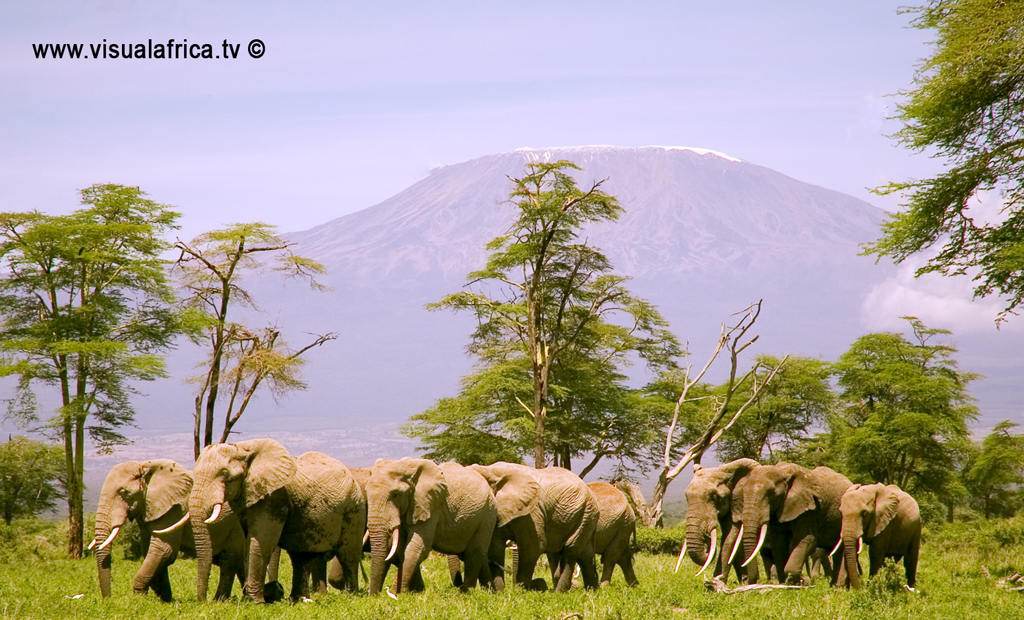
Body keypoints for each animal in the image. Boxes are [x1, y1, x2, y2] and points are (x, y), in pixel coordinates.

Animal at [90, 459, 245, 598]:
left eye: (124, 492)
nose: (108, 598)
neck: (145, 465)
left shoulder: (173, 509)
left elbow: (163, 549)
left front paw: (139, 599)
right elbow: (151, 551)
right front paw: (166, 600)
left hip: (234, 525)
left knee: (229, 559)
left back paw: (220, 600)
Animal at [190, 438, 366, 602]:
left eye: (226, 475)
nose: (203, 600)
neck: (243, 447)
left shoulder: (275, 497)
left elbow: (261, 541)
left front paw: (254, 602)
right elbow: (248, 542)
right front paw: (250, 600)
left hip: (354, 510)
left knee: (348, 555)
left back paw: (352, 596)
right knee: (300, 557)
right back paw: (296, 599)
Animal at [366, 457, 497, 594]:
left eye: (396, 494)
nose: (374, 595)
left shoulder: (431, 505)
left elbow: (417, 546)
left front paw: (397, 594)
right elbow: (400, 548)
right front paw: (414, 592)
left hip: (488, 514)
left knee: (474, 552)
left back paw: (466, 592)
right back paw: (488, 591)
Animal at [471, 461, 598, 594]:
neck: (490, 470)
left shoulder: (532, 512)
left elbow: (532, 548)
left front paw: (520, 592)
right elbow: (495, 548)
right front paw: (501, 593)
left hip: (585, 514)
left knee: (570, 550)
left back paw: (560, 592)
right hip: (585, 517)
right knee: (584, 555)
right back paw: (592, 591)